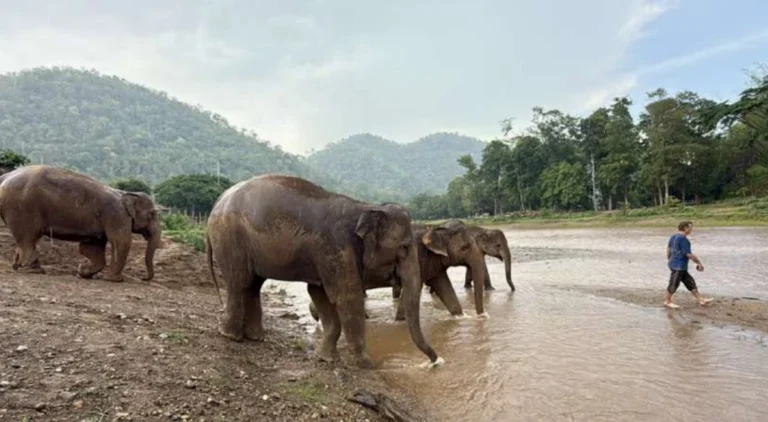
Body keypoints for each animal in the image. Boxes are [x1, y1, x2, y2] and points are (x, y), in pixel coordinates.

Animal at [0, 165, 161, 282]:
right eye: (152, 214)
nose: (144, 278)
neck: (124, 193)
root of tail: (5, 176)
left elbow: (91, 247)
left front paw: (83, 271)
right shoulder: (116, 215)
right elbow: (121, 241)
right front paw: (115, 279)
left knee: (26, 239)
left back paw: (17, 267)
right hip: (23, 208)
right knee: (28, 237)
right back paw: (34, 270)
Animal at [205, 174, 440, 368]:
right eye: (405, 247)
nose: (436, 361)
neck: (365, 207)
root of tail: (217, 203)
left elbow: (319, 294)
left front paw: (327, 358)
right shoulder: (336, 247)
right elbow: (348, 298)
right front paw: (368, 365)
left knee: (254, 284)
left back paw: (255, 338)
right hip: (230, 238)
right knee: (240, 283)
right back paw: (231, 336)